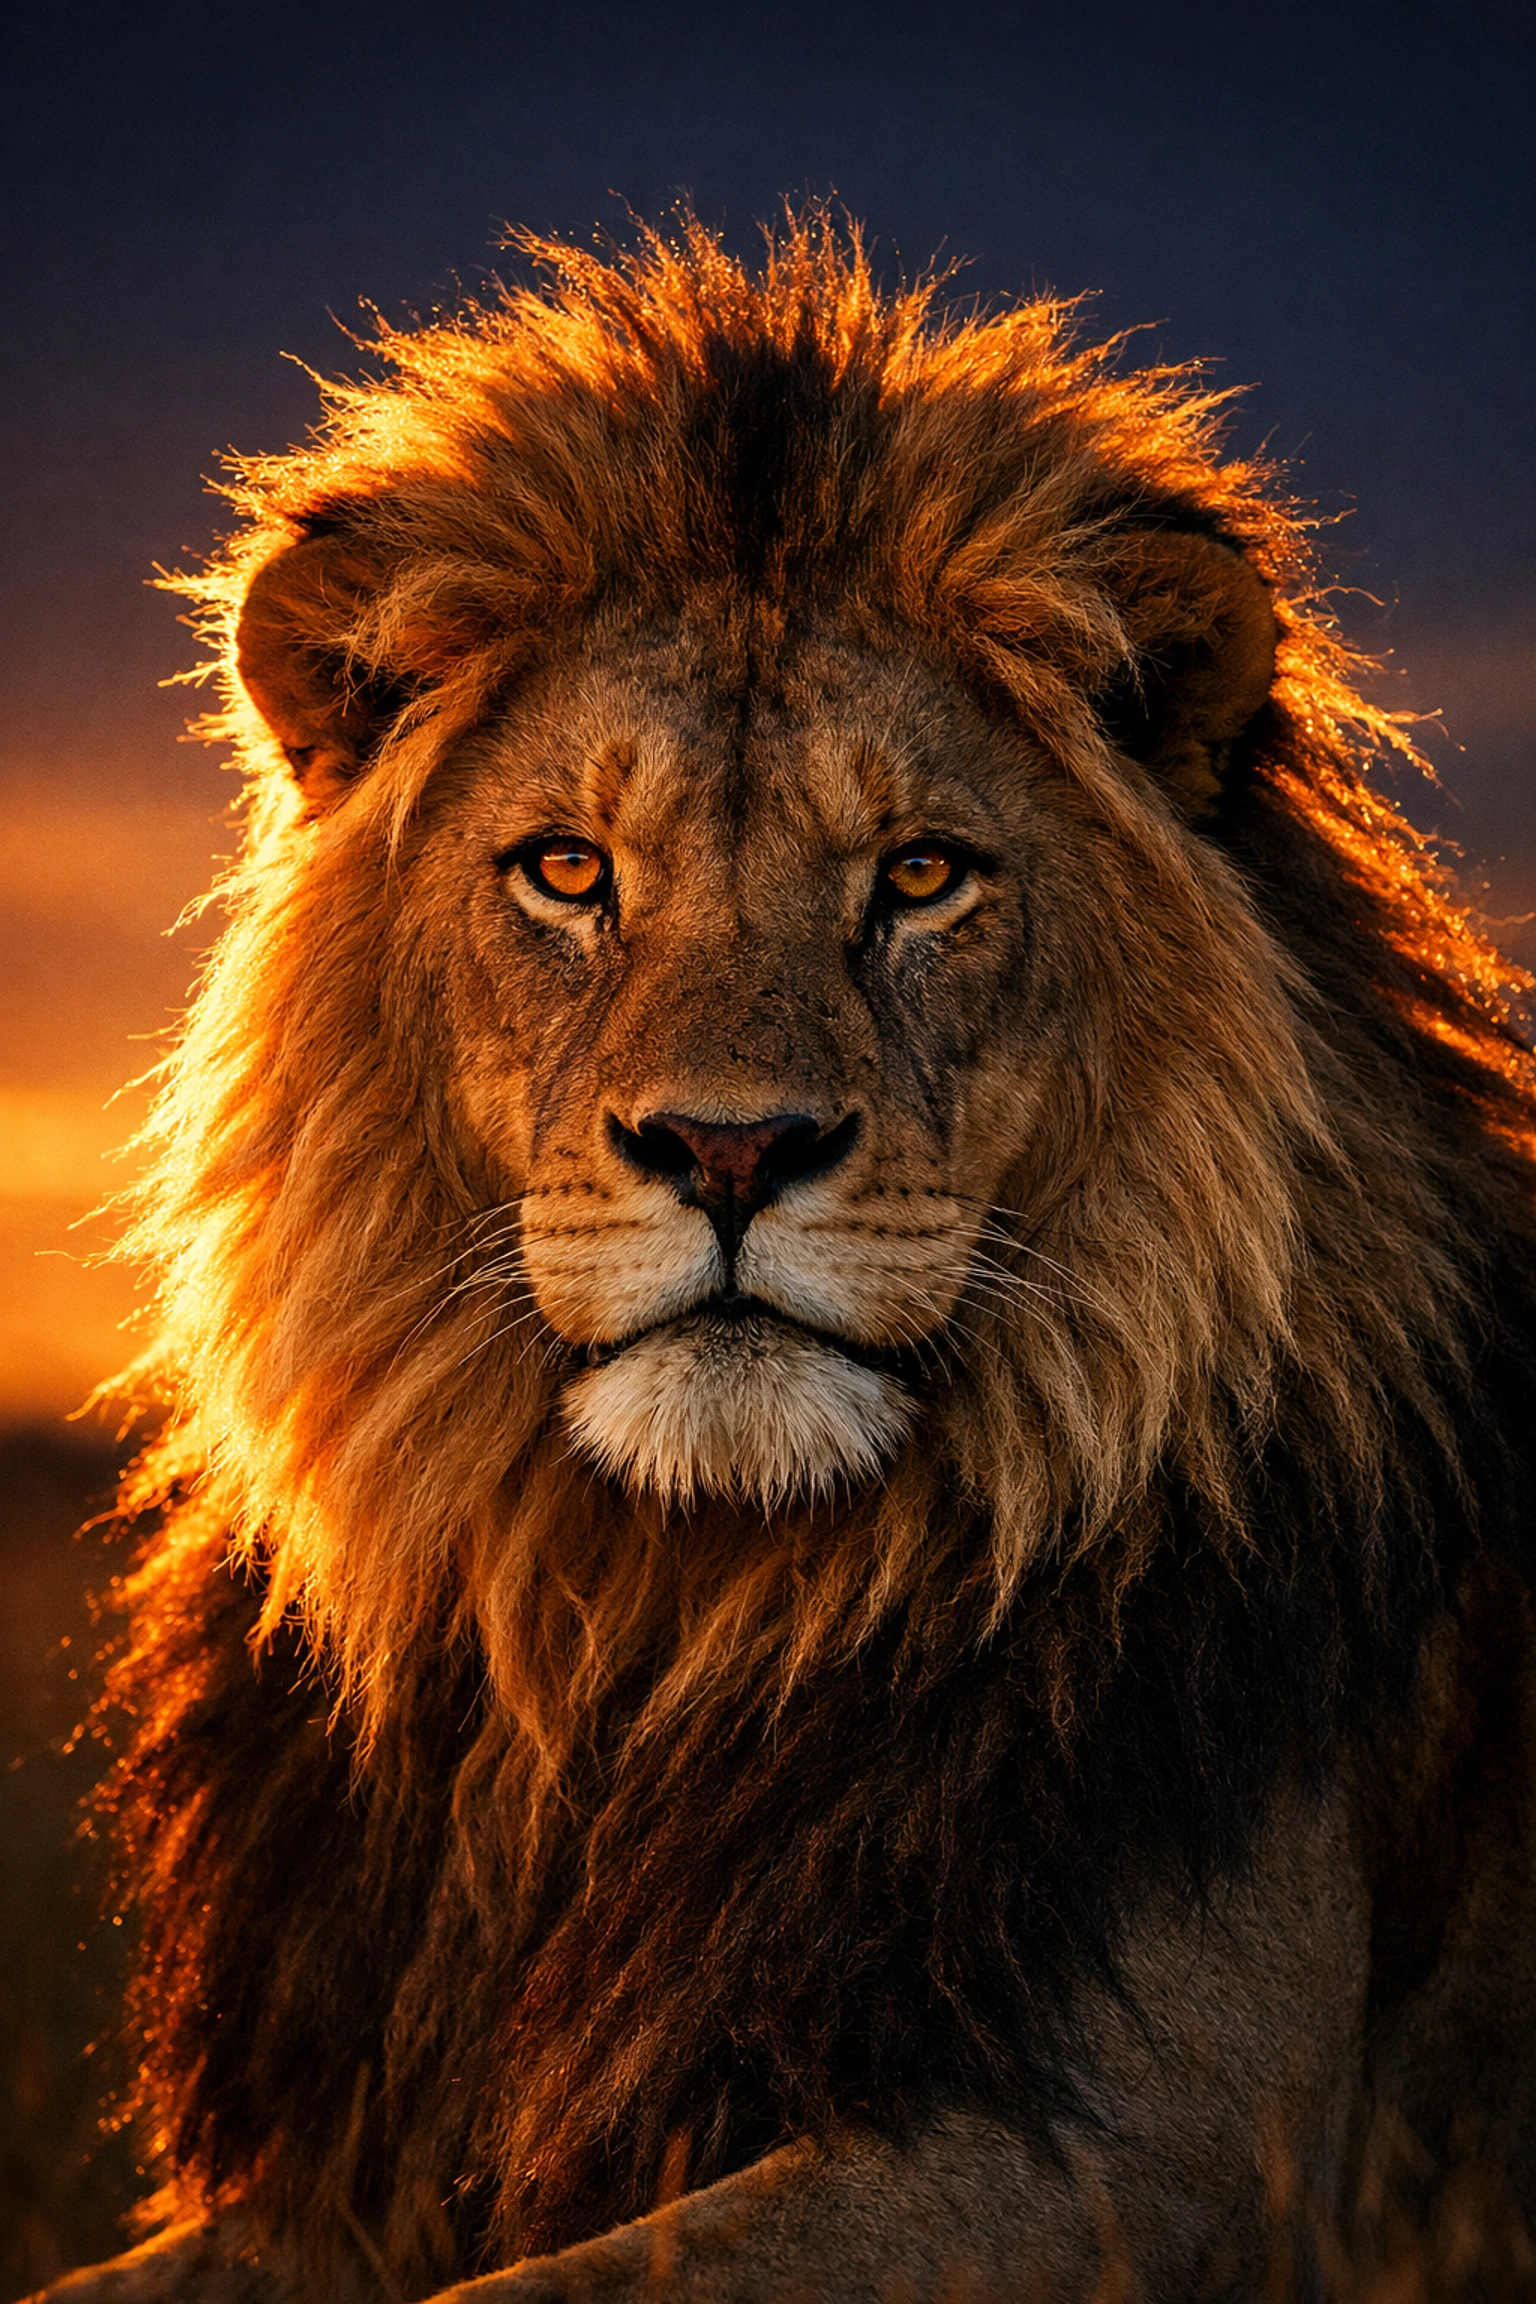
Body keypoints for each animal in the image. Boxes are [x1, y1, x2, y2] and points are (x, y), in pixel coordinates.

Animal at [37, 214, 1536, 2303]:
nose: (729, 1148)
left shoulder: (1162, 2141)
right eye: (568, 870)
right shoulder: (338, 2174)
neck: (678, 1612)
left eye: (919, 874)